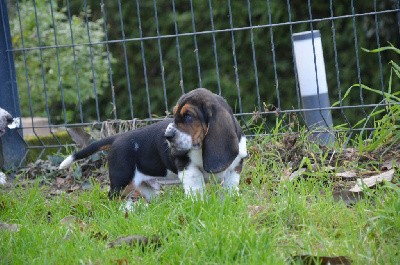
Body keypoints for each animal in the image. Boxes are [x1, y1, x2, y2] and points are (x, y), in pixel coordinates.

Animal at [59, 87, 247, 199]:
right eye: (175, 114)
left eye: (188, 116)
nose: (167, 135)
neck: (200, 147)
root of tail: (118, 138)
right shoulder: (188, 168)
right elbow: (196, 188)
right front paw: (199, 203)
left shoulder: (235, 168)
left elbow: (231, 185)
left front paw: (233, 198)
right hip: (122, 181)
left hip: (145, 187)